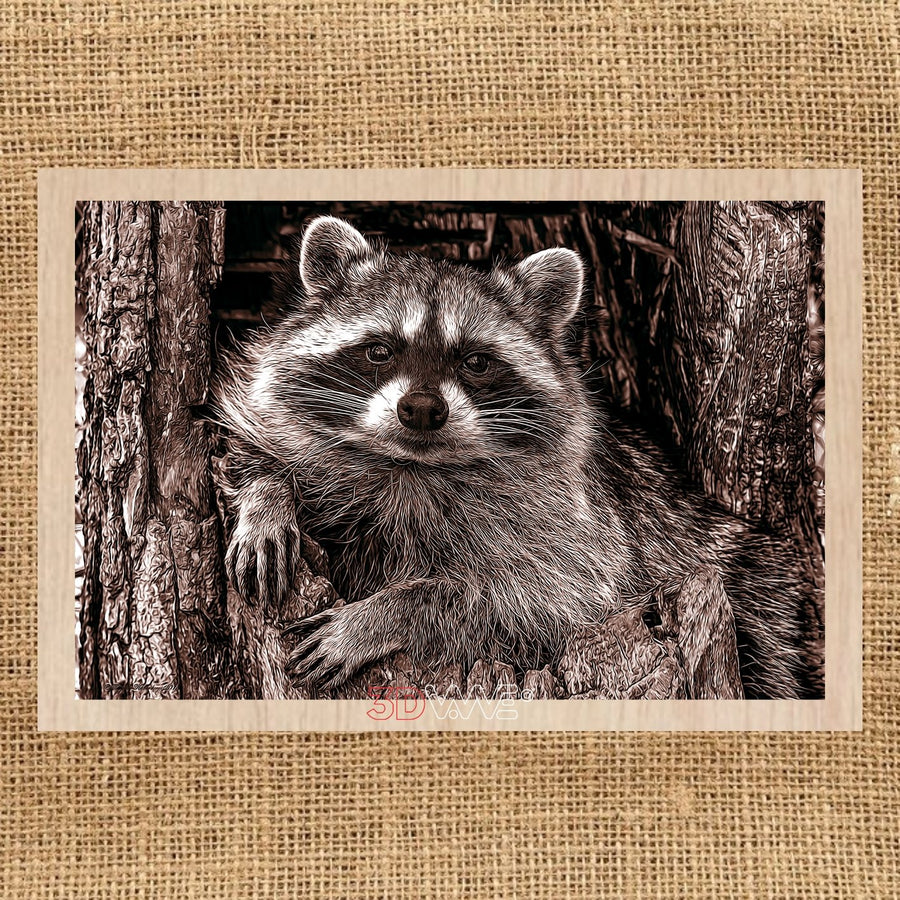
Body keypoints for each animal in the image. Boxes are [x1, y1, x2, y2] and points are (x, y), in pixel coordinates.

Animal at [213, 215, 823, 699]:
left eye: (476, 361)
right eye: (380, 350)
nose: (421, 409)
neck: (413, 464)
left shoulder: (576, 530)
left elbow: (536, 603)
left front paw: (388, 614)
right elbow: (241, 445)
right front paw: (266, 500)